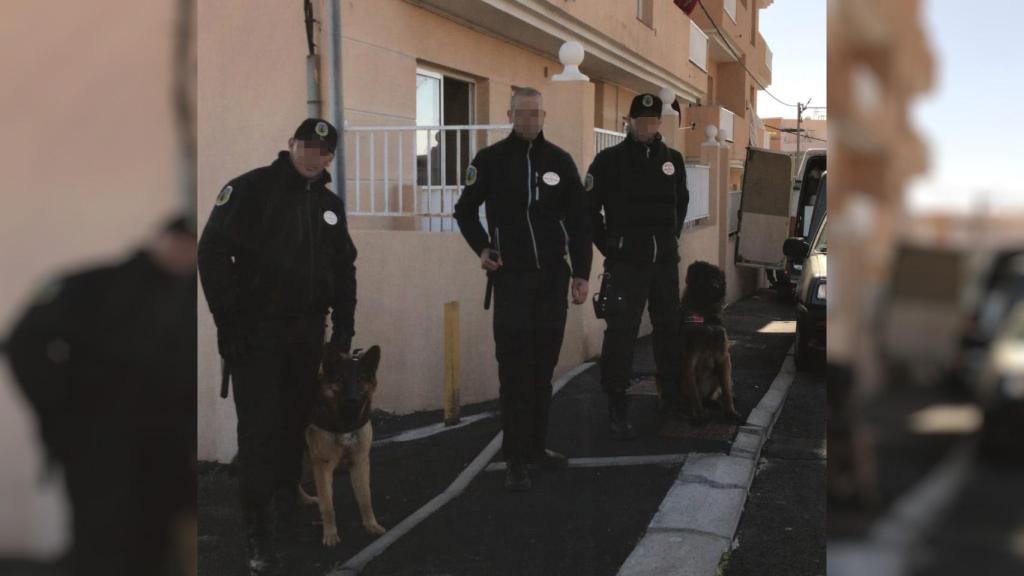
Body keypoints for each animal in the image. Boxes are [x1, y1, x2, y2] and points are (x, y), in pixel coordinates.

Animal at [301, 342, 389, 545]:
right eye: (341, 379)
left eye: (361, 379)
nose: (353, 400)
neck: (345, 424)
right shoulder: (323, 467)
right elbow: (327, 505)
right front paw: (330, 534)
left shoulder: (360, 462)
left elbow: (365, 499)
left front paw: (371, 525)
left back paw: (306, 499)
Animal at [675, 260, 741, 422]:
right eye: (705, 275)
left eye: (718, 278)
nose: (716, 286)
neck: (704, 315)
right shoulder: (689, 358)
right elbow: (694, 393)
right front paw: (699, 415)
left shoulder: (724, 357)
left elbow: (726, 390)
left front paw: (730, 412)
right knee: (692, 396)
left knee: (720, 389)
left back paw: (713, 401)